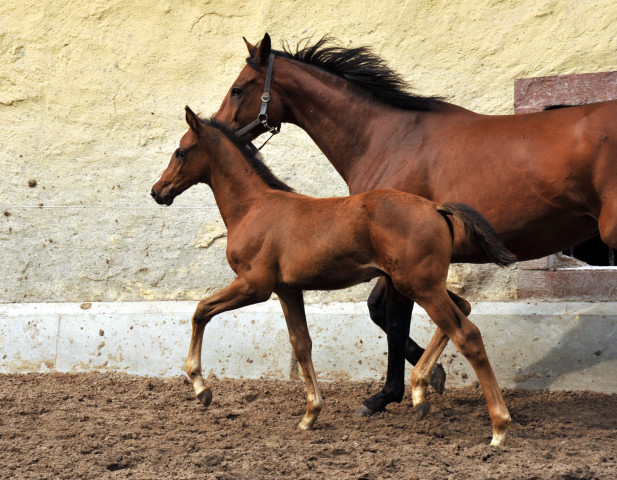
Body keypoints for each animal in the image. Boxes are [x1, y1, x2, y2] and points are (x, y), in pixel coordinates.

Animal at [150, 107, 516, 444]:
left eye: (181, 151)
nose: (157, 191)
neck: (253, 208)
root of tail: (435, 207)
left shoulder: (254, 286)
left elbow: (201, 310)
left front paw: (201, 388)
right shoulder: (287, 290)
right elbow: (302, 344)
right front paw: (310, 415)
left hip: (419, 286)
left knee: (467, 334)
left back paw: (498, 428)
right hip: (418, 283)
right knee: (464, 308)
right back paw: (420, 389)